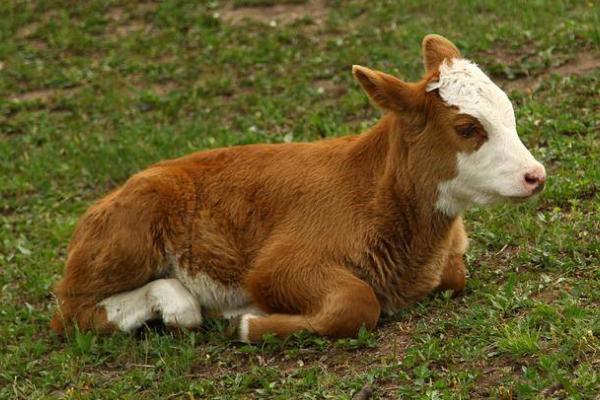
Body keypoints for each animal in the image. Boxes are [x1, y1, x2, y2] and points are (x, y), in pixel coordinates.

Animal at [51, 34, 548, 342]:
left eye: (509, 112)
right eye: (467, 128)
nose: (536, 175)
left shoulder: (449, 259)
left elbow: (455, 276)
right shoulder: (278, 265)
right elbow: (356, 302)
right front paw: (245, 322)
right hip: (128, 236)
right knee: (70, 311)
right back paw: (177, 303)